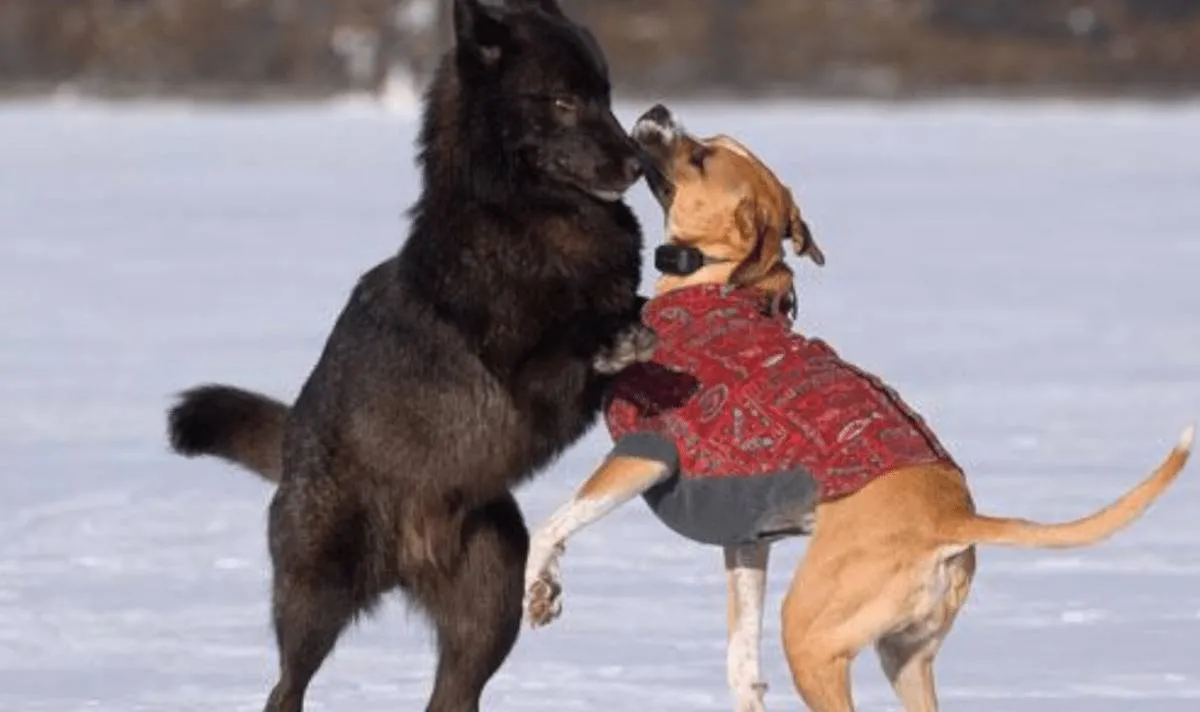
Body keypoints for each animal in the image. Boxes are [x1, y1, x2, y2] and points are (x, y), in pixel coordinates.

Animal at [165, 2, 652, 705]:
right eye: (563, 100)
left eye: (605, 97)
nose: (639, 162)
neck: (522, 219)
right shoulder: (525, 380)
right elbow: (581, 330)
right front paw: (619, 335)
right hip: (318, 600)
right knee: (285, 688)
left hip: (490, 609)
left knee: (449, 697)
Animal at [525, 103, 1190, 710]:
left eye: (703, 157)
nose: (659, 111)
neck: (718, 283)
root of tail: (950, 520)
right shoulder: (748, 537)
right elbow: (742, 660)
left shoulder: (645, 453)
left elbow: (555, 522)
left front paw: (540, 589)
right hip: (905, 656)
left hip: (812, 636)